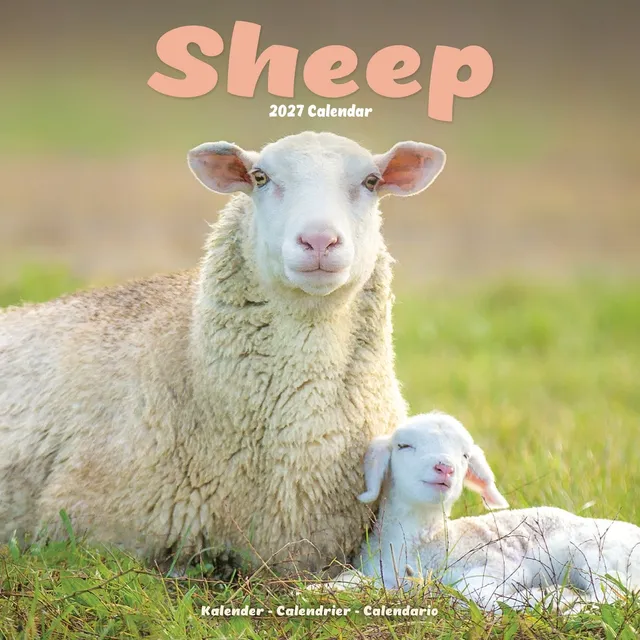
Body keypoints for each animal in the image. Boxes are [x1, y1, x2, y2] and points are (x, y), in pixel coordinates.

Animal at [341, 412, 640, 610]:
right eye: (403, 446)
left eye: (464, 455)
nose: (445, 468)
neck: (426, 540)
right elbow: (352, 580)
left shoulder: (497, 564)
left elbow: (472, 590)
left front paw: (527, 594)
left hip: (596, 555)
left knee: (615, 596)